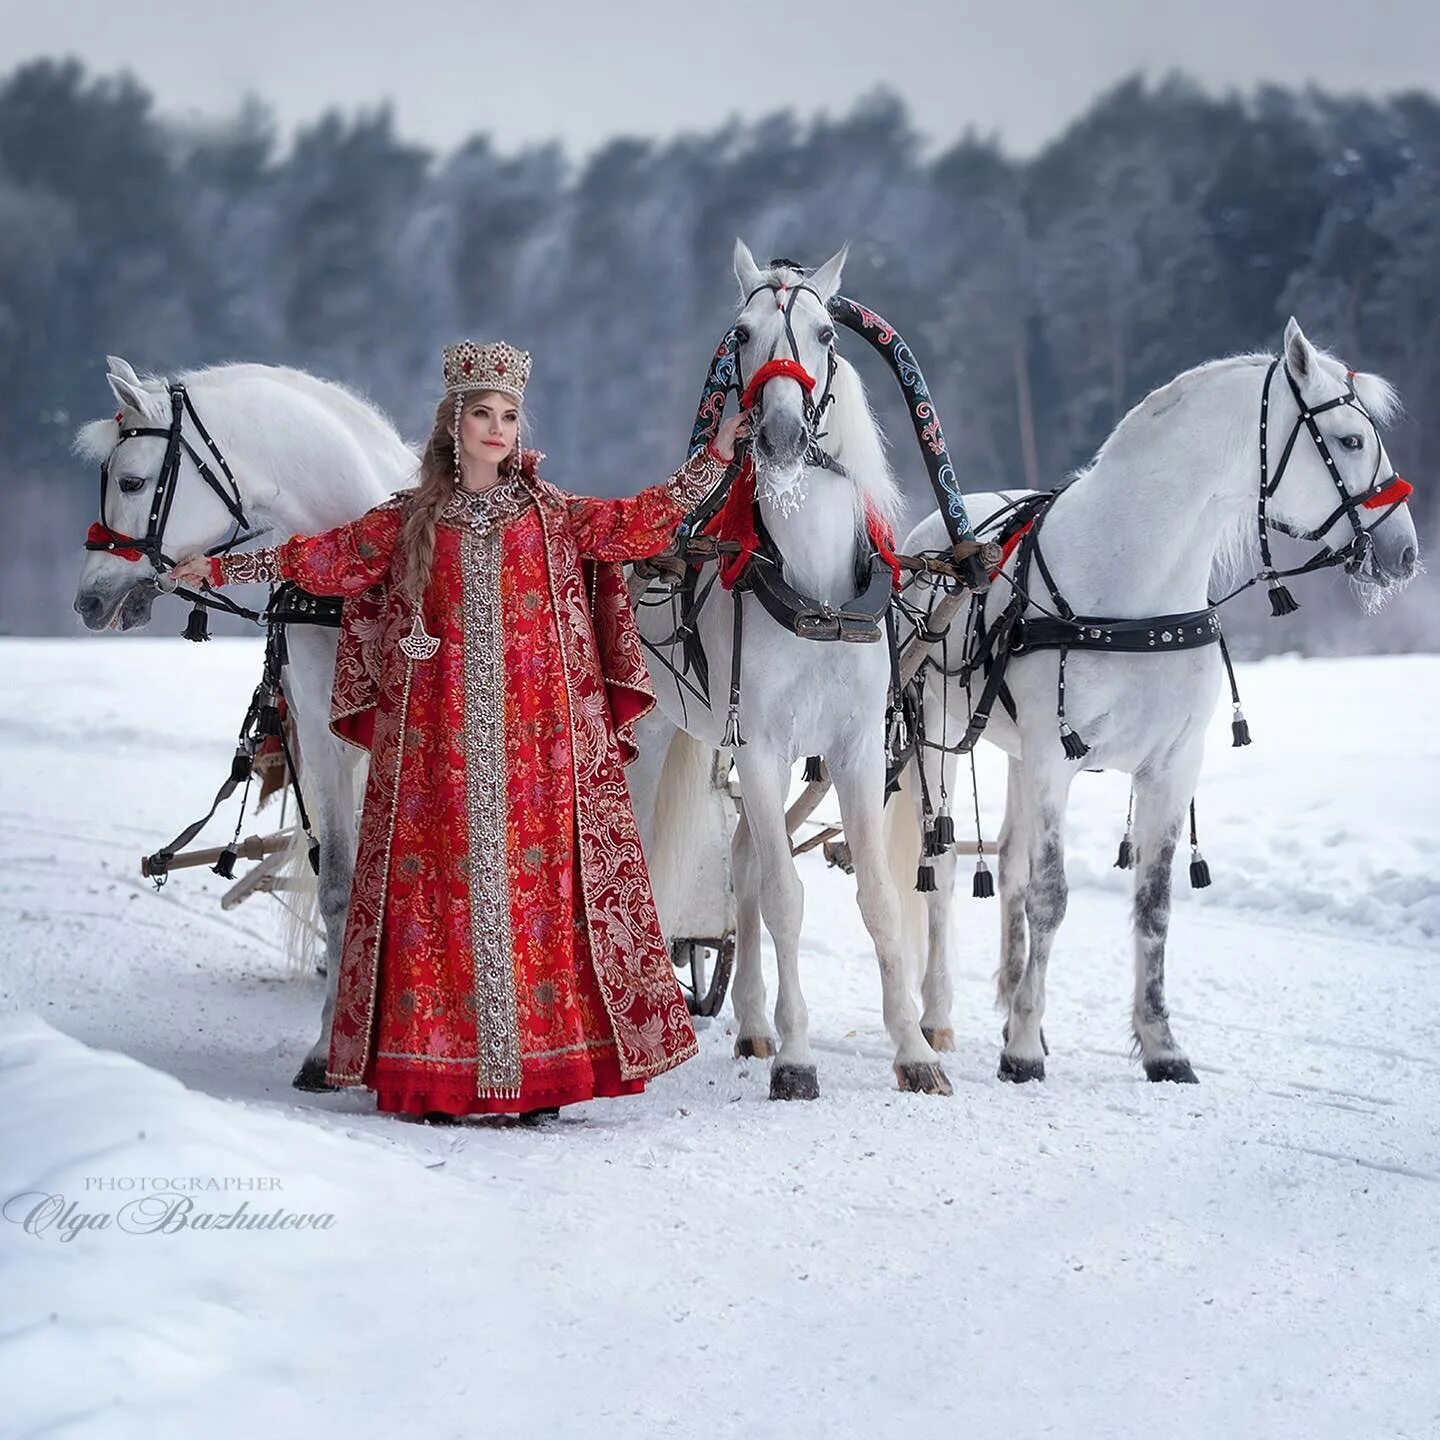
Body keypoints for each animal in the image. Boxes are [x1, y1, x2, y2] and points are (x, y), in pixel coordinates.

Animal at [624, 244, 950, 1100]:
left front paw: (914, 1050)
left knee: (739, 862)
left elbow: (874, 898)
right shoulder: (766, 748)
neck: (815, 588)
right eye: (742, 333)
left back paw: (751, 1022)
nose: (774, 433)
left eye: (826, 334)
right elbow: (785, 897)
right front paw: (800, 1058)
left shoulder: (856, 751)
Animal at [892, 315, 1422, 1082]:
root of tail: (931, 543)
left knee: (1012, 867)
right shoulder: (1055, 759)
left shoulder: (1171, 766)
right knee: (940, 865)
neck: (1134, 586)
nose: (1405, 553)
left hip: (1018, 756)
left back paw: (1018, 1002)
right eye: (1351, 440)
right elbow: (1051, 897)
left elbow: (1153, 905)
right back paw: (939, 1017)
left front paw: (1159, 1044)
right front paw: (1023, 1050)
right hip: (936, 735)